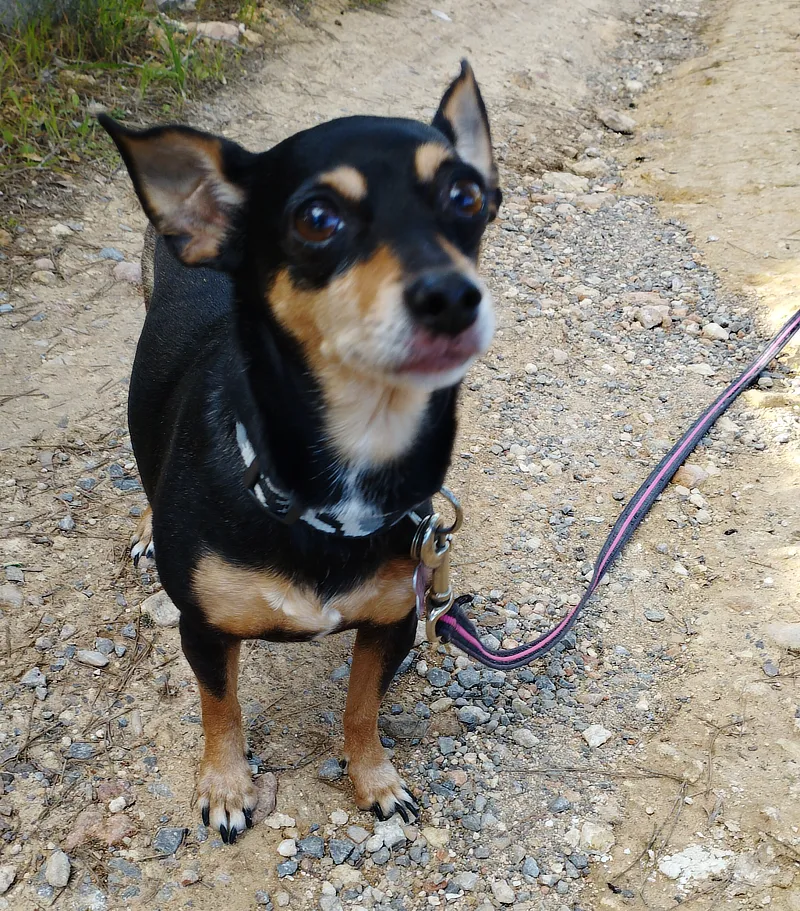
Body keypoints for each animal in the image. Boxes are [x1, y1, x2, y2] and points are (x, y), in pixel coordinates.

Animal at [98, 62, 500, 848]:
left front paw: (375, 781)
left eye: (466, 196)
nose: (452, 295)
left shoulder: (391, 622)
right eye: (317, 218)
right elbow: (220, 707)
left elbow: (361, 708)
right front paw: (226, 787)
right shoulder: (203, 630)